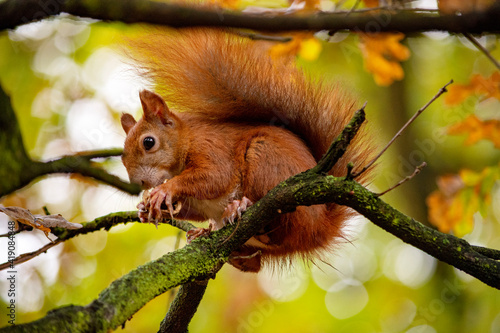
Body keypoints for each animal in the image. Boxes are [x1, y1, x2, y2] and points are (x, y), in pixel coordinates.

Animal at [120, 28, 372, 272]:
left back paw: (241, 206)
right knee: (255, 264)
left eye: (148, 142)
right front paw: (145, 207)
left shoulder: (211, 147)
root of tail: (321, 228)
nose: (139, 183)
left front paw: (164, 190)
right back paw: (214, 238)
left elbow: (215, 177)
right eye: (122, 157)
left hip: (267, 162)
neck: (186, 139)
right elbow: (195, 209)